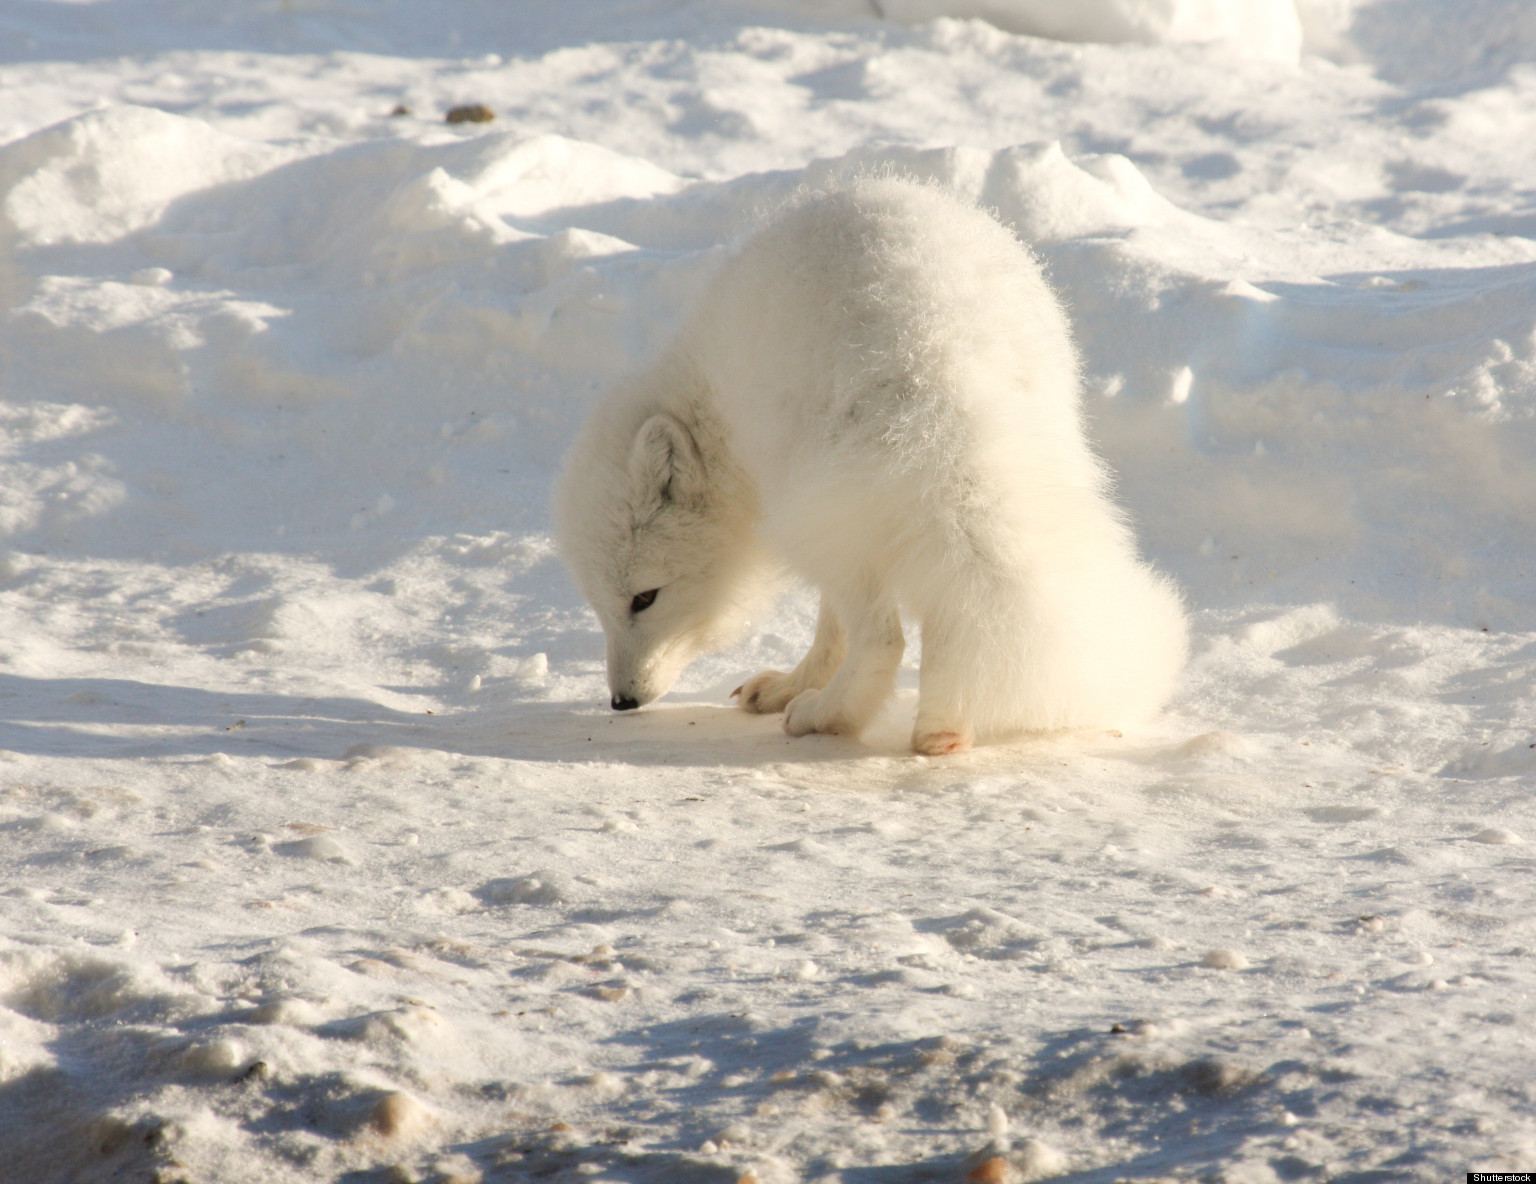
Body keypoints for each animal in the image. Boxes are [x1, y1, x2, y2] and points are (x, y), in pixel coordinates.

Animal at [556, 175, 1185, 755]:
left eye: (645, 598)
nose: (621, 701)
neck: (710, 390)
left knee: (884, 638)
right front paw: (792, 683)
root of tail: (941, 380)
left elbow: (839, 625)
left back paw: (826, 715)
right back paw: (943, 727)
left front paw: (802, 690)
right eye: (598, 603)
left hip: (819, 508)